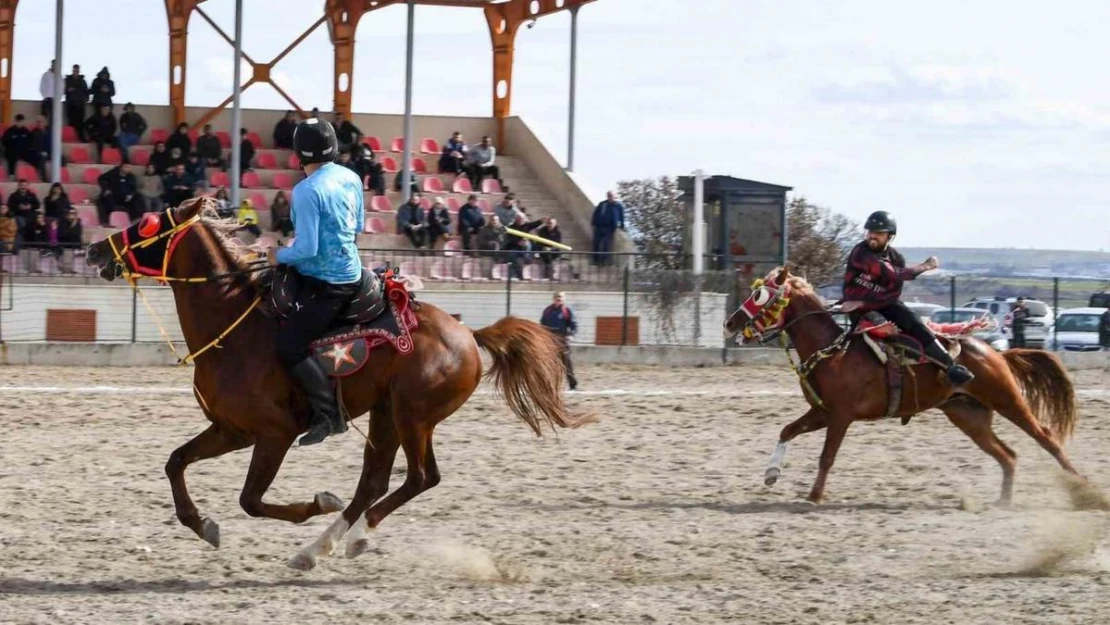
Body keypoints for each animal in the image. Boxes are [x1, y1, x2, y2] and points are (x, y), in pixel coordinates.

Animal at [84, 197, 590, 568]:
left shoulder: (274, 434)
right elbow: (175, 462)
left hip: (413, 417)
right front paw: (202, 524)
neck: (234, 327)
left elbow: (251, 499)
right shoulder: (231, 429)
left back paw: (351, 537)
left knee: (420, 477)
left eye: (147, 224)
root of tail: (468, 333)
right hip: (387, 415)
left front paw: (318, 502)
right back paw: (320, 547)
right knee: (374, 482)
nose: (94, 250)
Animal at [723, 268, 1078, 508]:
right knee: (1008, 455)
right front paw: (771, 473)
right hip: (968, 416)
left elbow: (827, 457)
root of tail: (997, 353)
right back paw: (1003, 501)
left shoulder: (840, 417)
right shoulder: (821, 412)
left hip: (1007, 399)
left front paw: (814, 496)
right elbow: (787, 430)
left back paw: (1082, 488)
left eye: (760, 295)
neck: (833, 351)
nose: (730, 322)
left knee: (1046, 438)